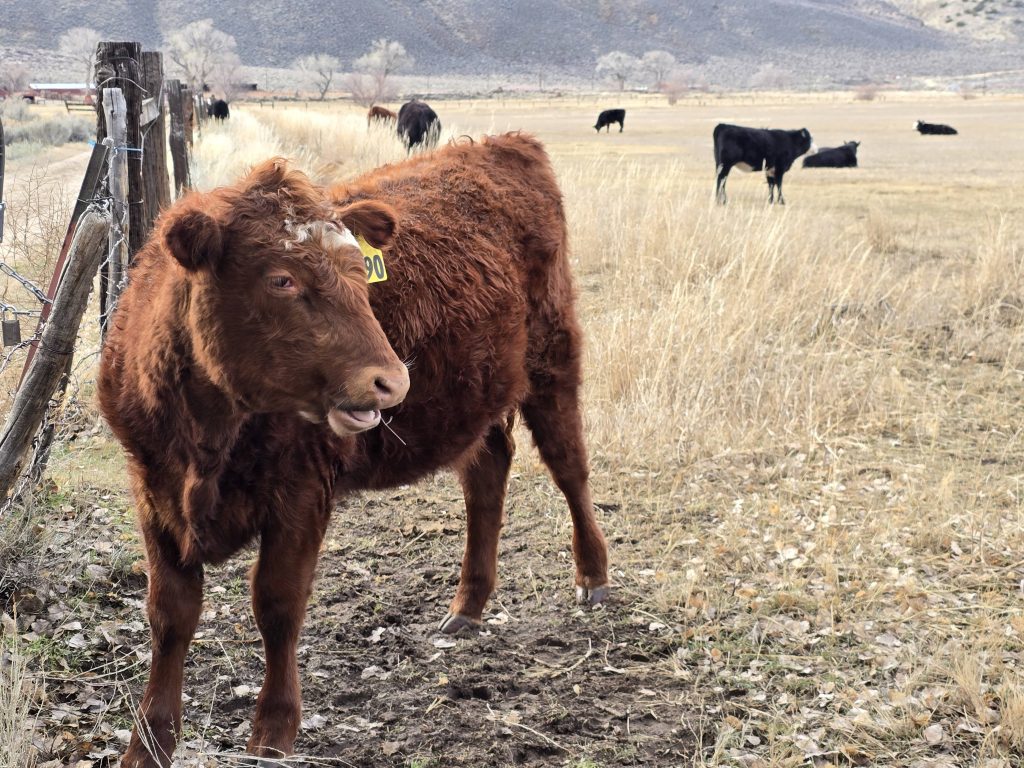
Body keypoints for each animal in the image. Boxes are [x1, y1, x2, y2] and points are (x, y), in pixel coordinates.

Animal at [98, 133, 609, 766]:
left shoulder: (301, 492)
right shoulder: (152, 489)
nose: (391, 379)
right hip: (479, 390)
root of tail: (505, 144)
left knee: (570, 466)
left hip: (553, 358)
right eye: (281, 279)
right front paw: (149, 742)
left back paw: (593, 576)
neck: (206, 441)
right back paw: (467, 605)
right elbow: (170, 614)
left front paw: (273, 731)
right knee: (487, 474)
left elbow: (277, 605)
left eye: (360, 275)